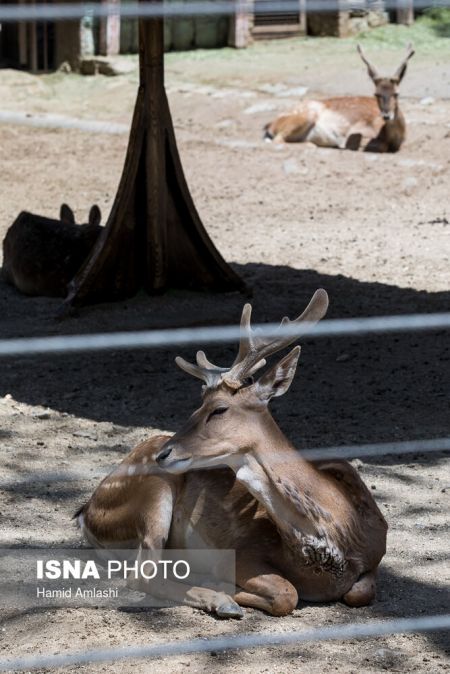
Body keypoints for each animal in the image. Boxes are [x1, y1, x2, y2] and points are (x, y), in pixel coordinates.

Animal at [77, 288, 386, 616]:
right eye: (197, 406)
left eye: (219, 409)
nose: (164, 454)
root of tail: (85, 512)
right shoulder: (243, 550)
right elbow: (287, 592)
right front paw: (223, 587)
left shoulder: (376, 554)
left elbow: (359, 592)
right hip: (154, 490)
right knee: (142, 575)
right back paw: (221, 600)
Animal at [264, 44, 414, 152]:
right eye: (376, 94)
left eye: (396, 93)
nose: (386, 116)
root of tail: (270, 125)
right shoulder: (356, 133)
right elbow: (379, 146)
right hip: (306, 116)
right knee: (277, 140)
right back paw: (312, 145)